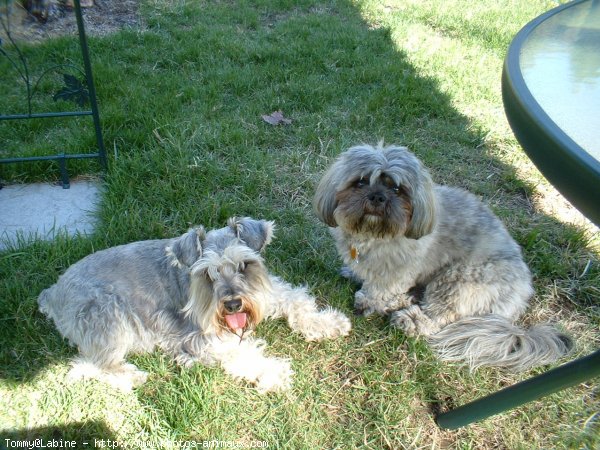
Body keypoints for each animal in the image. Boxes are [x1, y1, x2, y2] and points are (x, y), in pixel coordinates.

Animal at [38, 217, 352, 390]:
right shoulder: (204, 337)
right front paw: (274, 371)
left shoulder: (270, 292)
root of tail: (51, 293)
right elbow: (243, 354)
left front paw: (330, 322)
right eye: (208, 273)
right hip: (107, 317)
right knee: (91, 364)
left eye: (244, 265)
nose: (233, 304)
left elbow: (296, 301)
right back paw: (133, 375)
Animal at [314, 144, 572, 372]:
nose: (377, 197)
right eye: (360, 182)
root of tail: (521, 298)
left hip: (458, 279)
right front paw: (355, 274)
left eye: (397, 190)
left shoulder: (397, 270)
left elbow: (381, 289)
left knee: (439, 315)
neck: (372, 233)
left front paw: (368, 301)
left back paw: (410, 319)